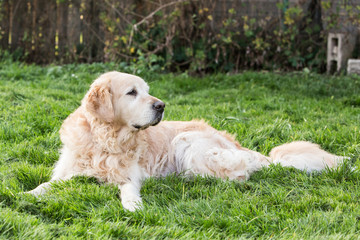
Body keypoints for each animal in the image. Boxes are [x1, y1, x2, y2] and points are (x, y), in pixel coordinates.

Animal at [25, 72, 346, 211]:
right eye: (132, 92)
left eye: (147, 90)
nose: (161, 105)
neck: (106, 139)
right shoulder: (69, 172)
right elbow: (47, 185)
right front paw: (28, 194)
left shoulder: (130, 175)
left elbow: (127, 189)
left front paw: (133, 205)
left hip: (187, 140)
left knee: (240, 172)